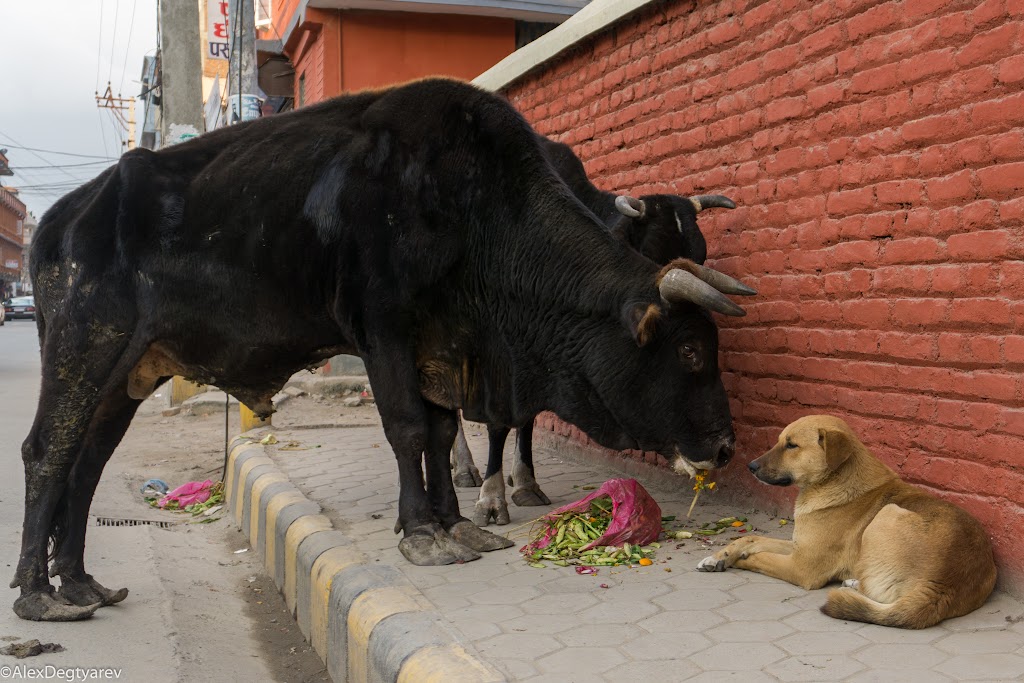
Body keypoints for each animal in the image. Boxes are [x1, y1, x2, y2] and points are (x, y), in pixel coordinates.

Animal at [452, 136, 741, 528]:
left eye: (701, 254)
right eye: (652, 248)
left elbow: (527, 417)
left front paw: (525, 482)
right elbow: (501, 419)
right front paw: (491, 497)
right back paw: (464, 467)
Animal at [700, 413, 995, 626]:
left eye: (792, 445)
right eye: (780, 440)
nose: (749, 466)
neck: (834, 480)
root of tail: (942, 584)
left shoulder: (802, 566)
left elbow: (759, 557)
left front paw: (734, 560)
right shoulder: (800, 546)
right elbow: (751, 538)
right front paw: (719, 556)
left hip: (887, 514)